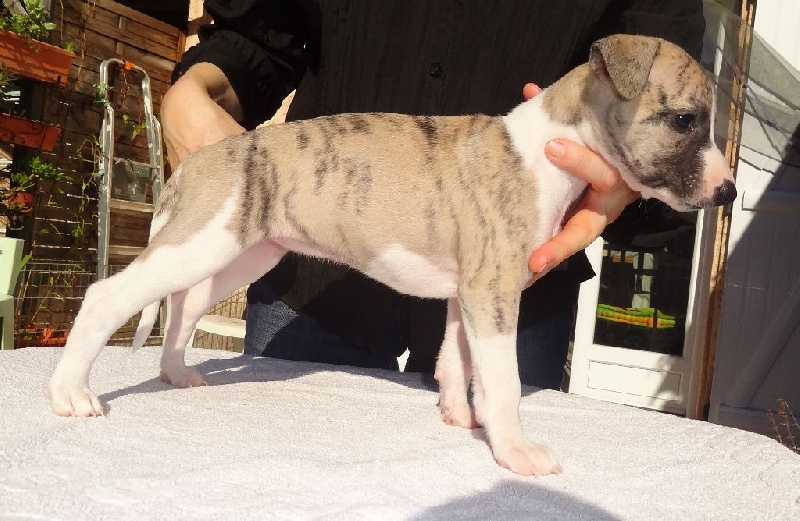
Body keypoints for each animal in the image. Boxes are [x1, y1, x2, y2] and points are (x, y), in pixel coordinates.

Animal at [49, 35, 736, 476]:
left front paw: (461, 418)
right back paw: (70, 395)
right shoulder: (493, 290)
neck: (545, 148)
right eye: (684, 119)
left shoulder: (469, 292)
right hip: (203, 242)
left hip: (237, 251)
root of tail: (199, 162)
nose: (728, 192)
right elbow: (505, 382)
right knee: (109, 296)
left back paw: (175, 374)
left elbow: (457, 362)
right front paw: (515, 452)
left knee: (184, 303)